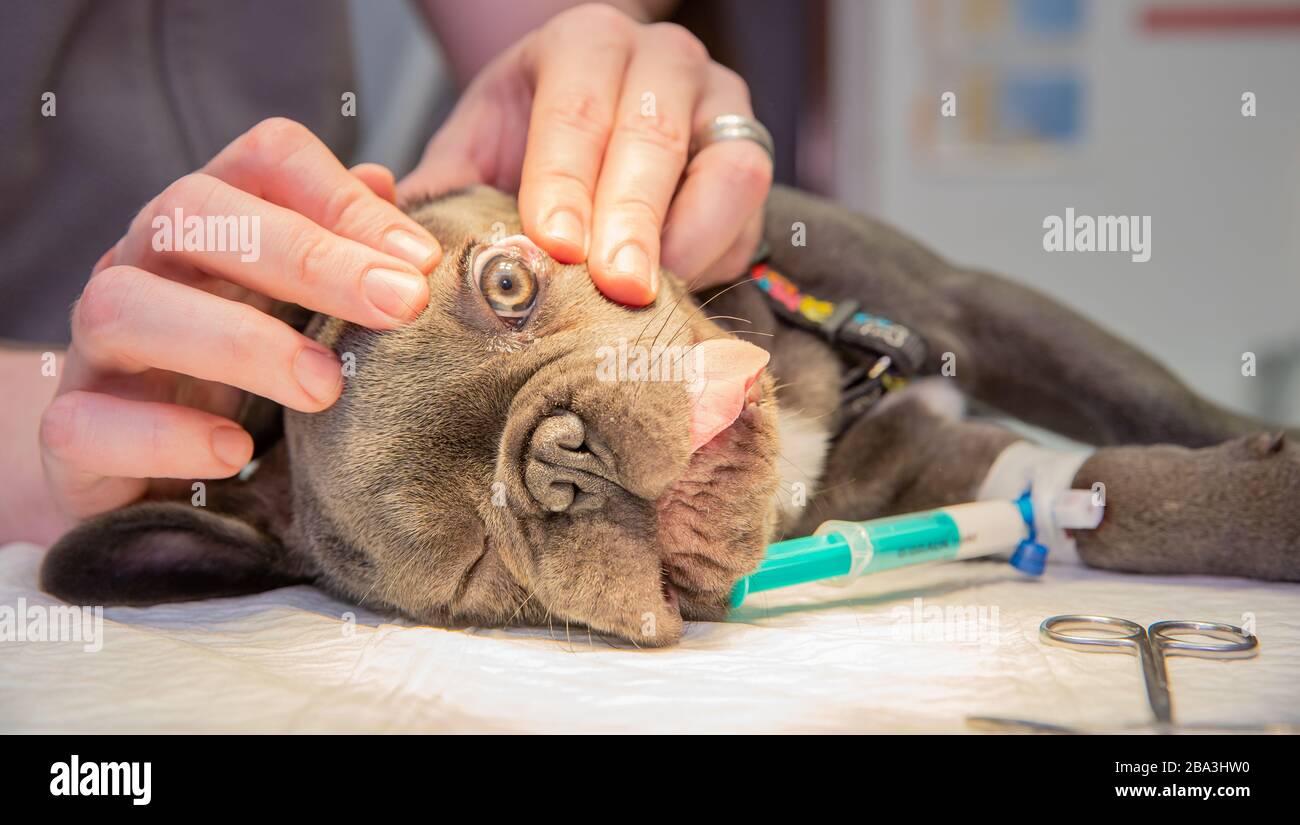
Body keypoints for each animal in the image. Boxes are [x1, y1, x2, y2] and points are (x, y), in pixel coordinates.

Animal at [43, 185, 1300, 644]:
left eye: (508, 283)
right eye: (467, 575)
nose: (564, 457)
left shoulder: (975, 309)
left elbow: (1144, 412)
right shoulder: (935, 475)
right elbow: (1102, 499)